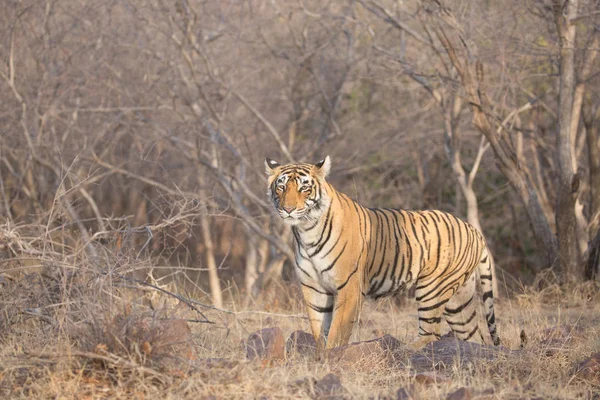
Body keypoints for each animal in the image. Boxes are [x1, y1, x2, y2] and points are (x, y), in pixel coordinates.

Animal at [264, 155, 500, 352]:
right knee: (472, 335)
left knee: (431, 333)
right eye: (281, 187)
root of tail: (474, 230)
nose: (288, 210)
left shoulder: (349, 287)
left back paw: (403, 350)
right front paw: (320, 357)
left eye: (304, 188)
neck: (306, 231)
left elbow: (337, 331)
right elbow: (318, 329)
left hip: (432, 288)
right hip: (459, 300)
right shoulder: (313, 287)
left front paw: (331, 356)